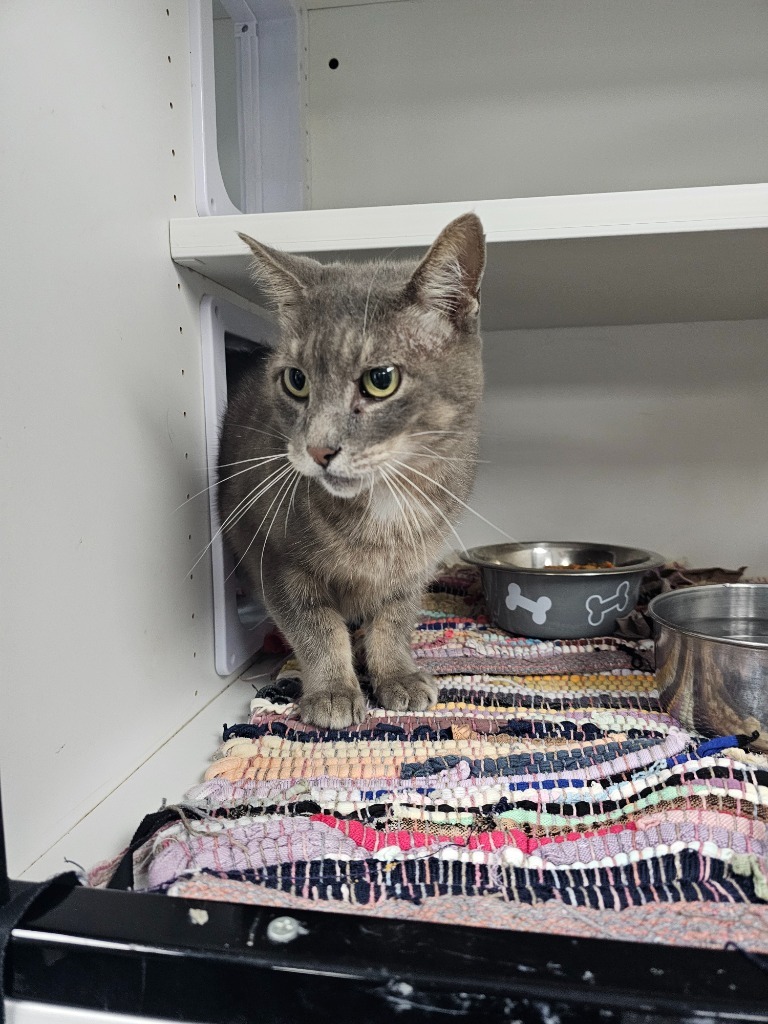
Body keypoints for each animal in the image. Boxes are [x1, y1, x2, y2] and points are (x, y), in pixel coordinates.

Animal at [219, 214, 483, 729]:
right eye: (296, 380)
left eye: (380, 380)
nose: (318, 448)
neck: (382, 508)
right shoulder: (275, 560)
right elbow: (316, 627)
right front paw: (333, 691)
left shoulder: (415, 567)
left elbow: (394, 621)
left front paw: (397, 675)